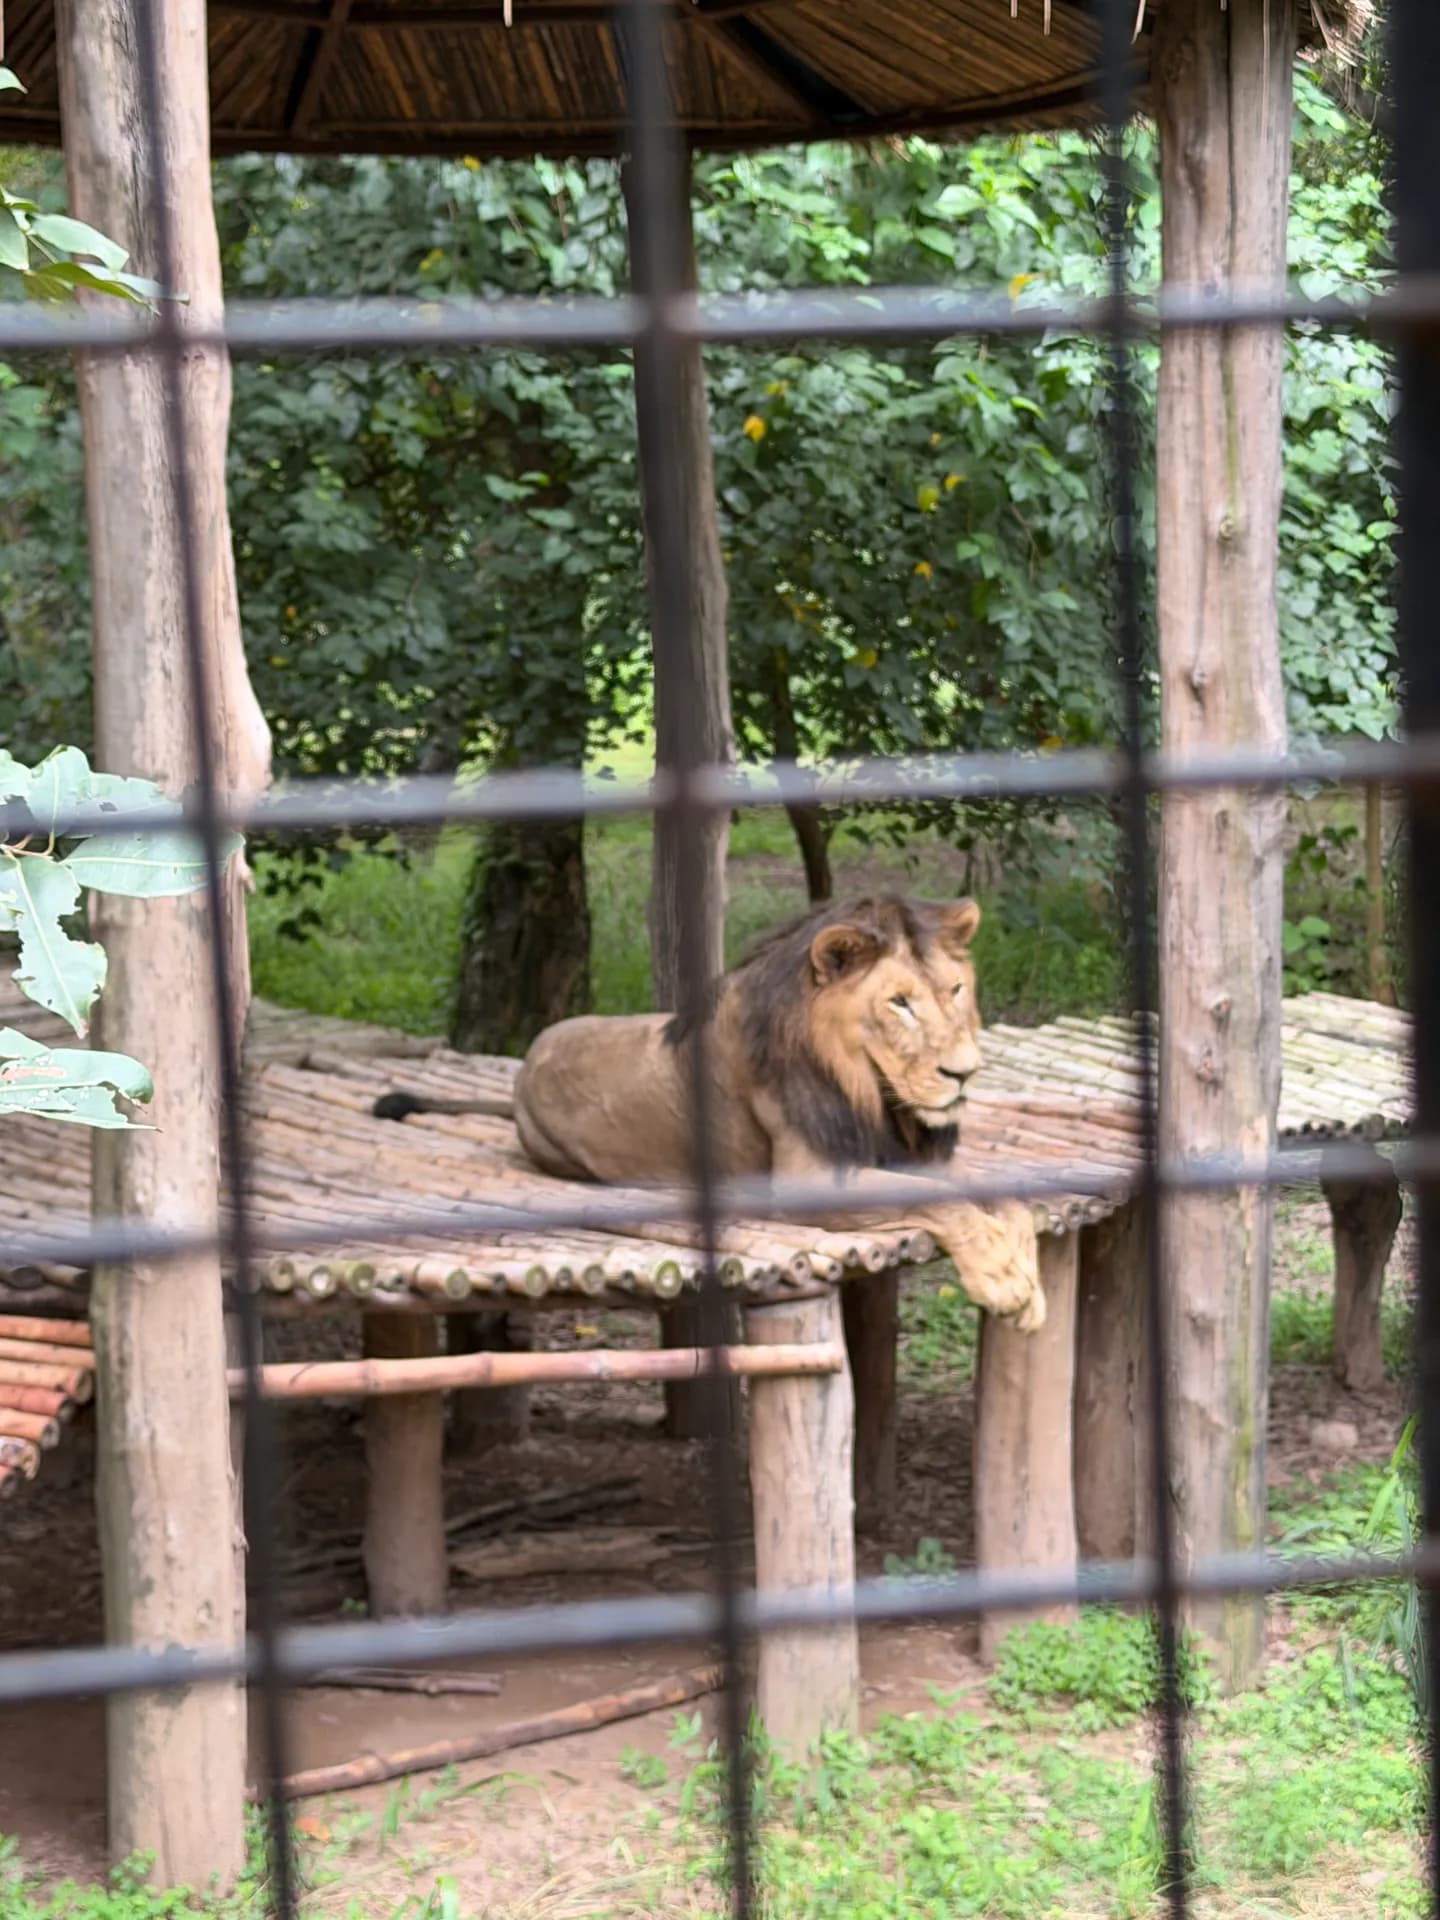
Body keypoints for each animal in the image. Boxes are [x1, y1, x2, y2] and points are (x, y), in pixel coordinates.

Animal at [373, 893, 1043, 1330]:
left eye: (954, 990)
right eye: (899, 1003)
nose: (965, 1072)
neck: (875, 1096)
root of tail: (521, 1072)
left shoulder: (909, 1156)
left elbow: (1008, 1199)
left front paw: (1029, 1283)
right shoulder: (805, 1180)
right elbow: (946, 1202)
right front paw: (1002, 1279)